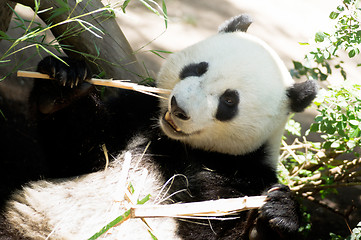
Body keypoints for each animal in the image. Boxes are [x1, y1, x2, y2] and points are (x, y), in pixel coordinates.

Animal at [0, 15, 316, 240]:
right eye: (198, 68)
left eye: (229, 100)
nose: (178, 108)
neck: (178, 144)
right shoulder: (138, 113)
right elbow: (80, 155)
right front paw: (63, 84)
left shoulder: (242, 172)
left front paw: (274, 217)